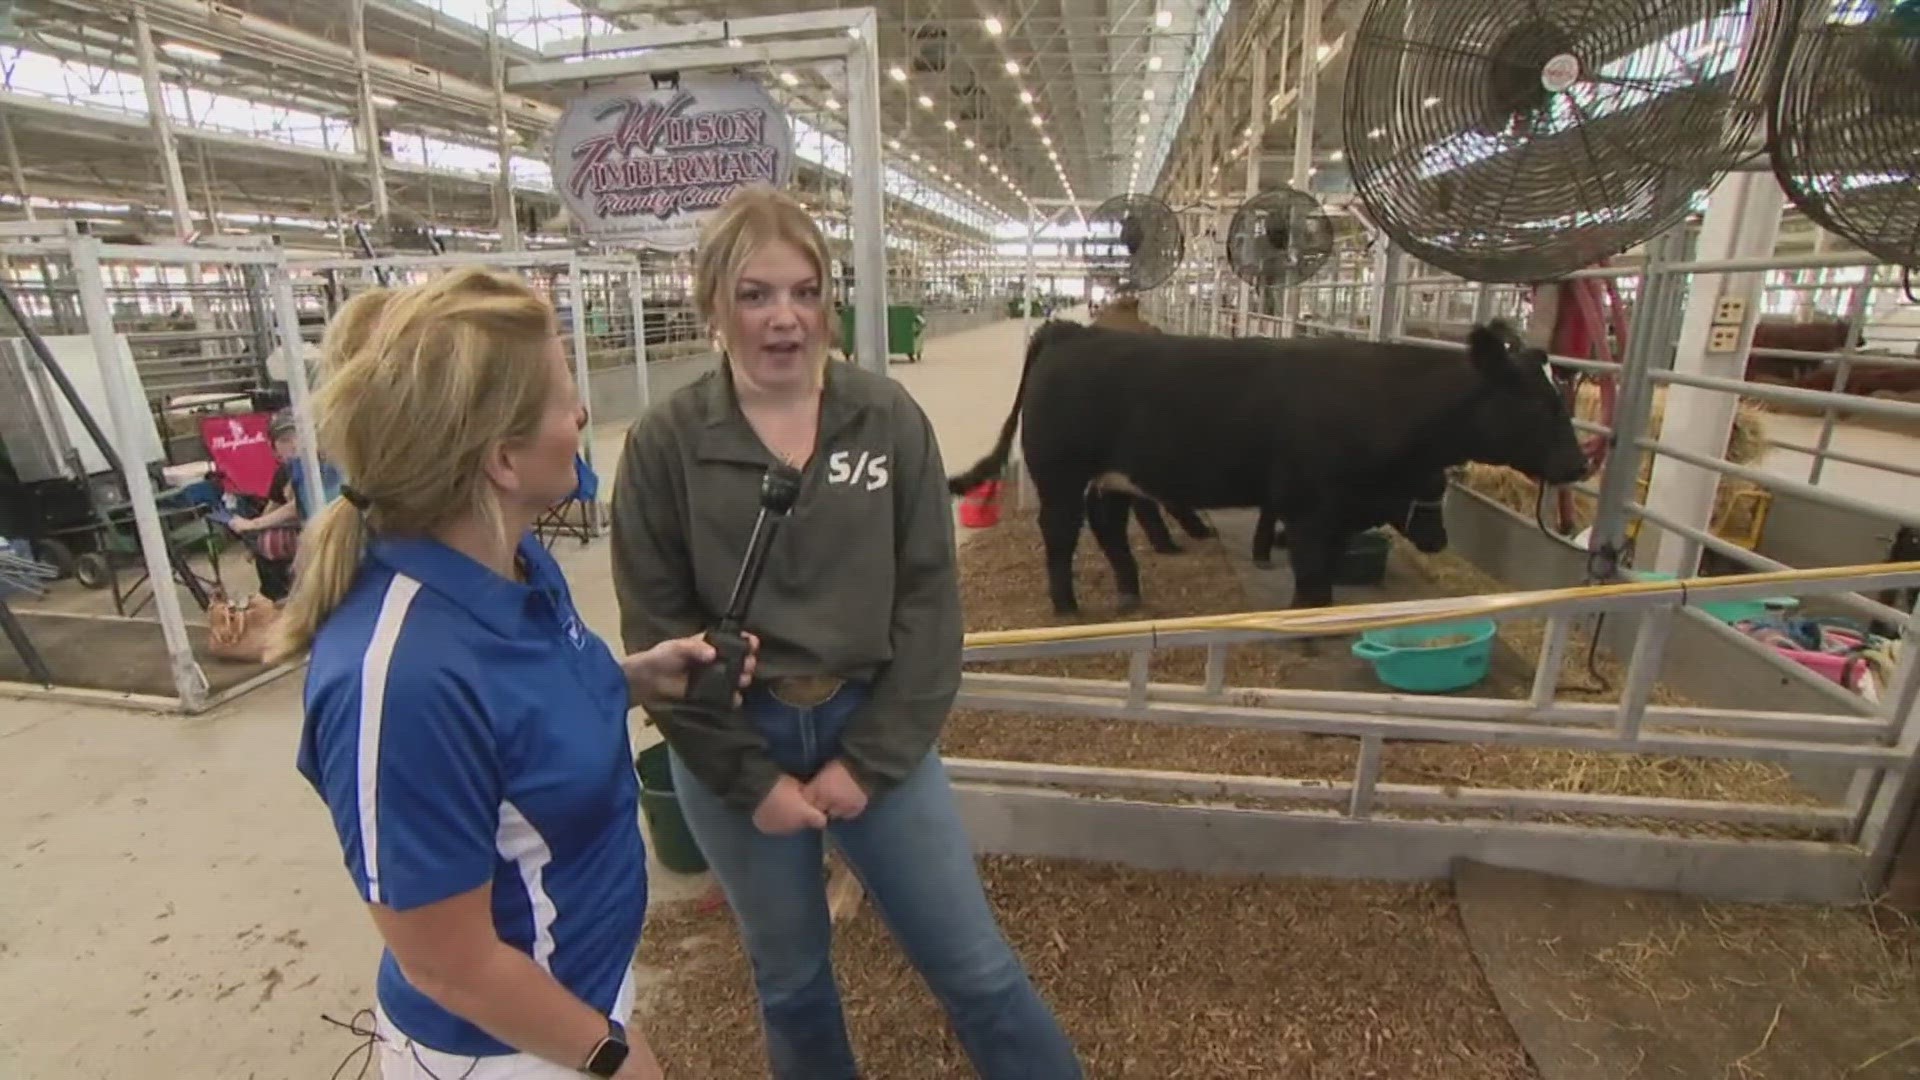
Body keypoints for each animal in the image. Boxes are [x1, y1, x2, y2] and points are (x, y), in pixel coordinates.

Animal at [944, 315, 1589, 611]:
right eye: (1541, 403)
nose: (1580, 465)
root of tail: (1072, 330)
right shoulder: (1310, 507)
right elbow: (1310, 576)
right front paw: (1307, 627)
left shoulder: (1331, 512)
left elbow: (1321, 574)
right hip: (1060, 473)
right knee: (1060, 535)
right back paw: (1066, 605)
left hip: (1113, 478)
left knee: (1109, 528)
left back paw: (1130, 595)